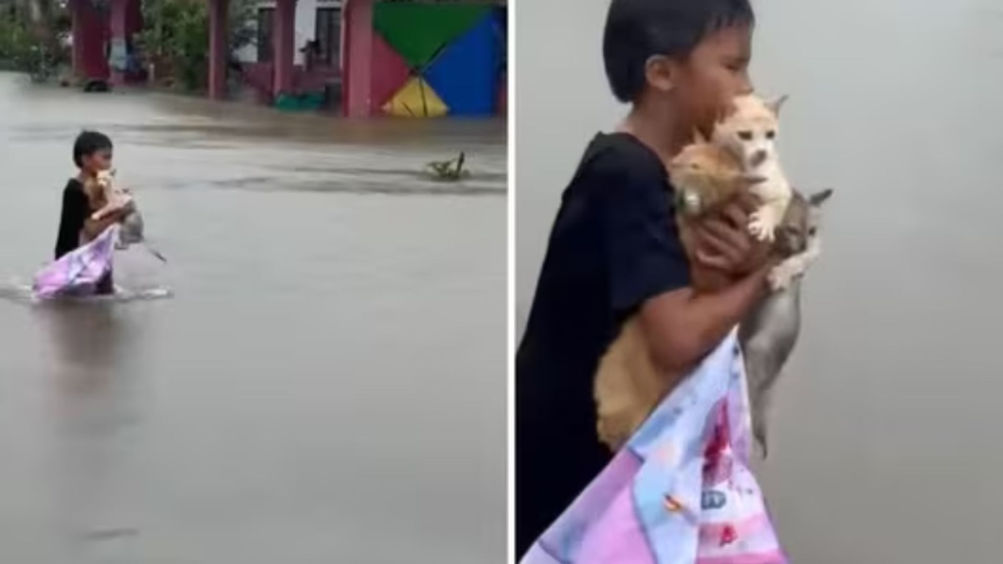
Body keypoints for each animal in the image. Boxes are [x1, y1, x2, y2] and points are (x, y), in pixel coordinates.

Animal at [738, 187, 830, 457]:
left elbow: (803, 260)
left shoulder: (814, 250)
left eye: (812, 231)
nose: (802, 244)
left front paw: (781, 274)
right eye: (792, 229)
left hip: (756, 355)